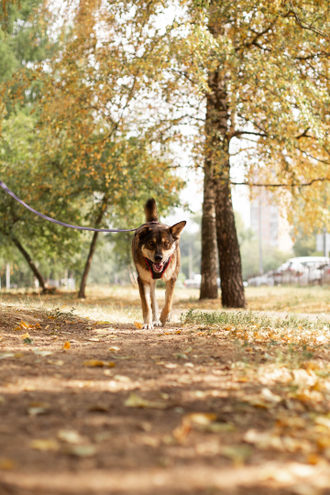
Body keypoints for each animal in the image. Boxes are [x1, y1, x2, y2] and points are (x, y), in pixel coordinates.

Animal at [131, 198, 186, 330]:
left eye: (166, 243)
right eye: (151, 243)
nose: (158, 258)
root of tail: (153, 222)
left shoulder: (172, 278)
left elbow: (168, 302)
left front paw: (164, 318)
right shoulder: (142, 280)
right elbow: (147, 305)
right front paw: (147, 323)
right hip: (150, 283)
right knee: (153, 300)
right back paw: (155, 320)